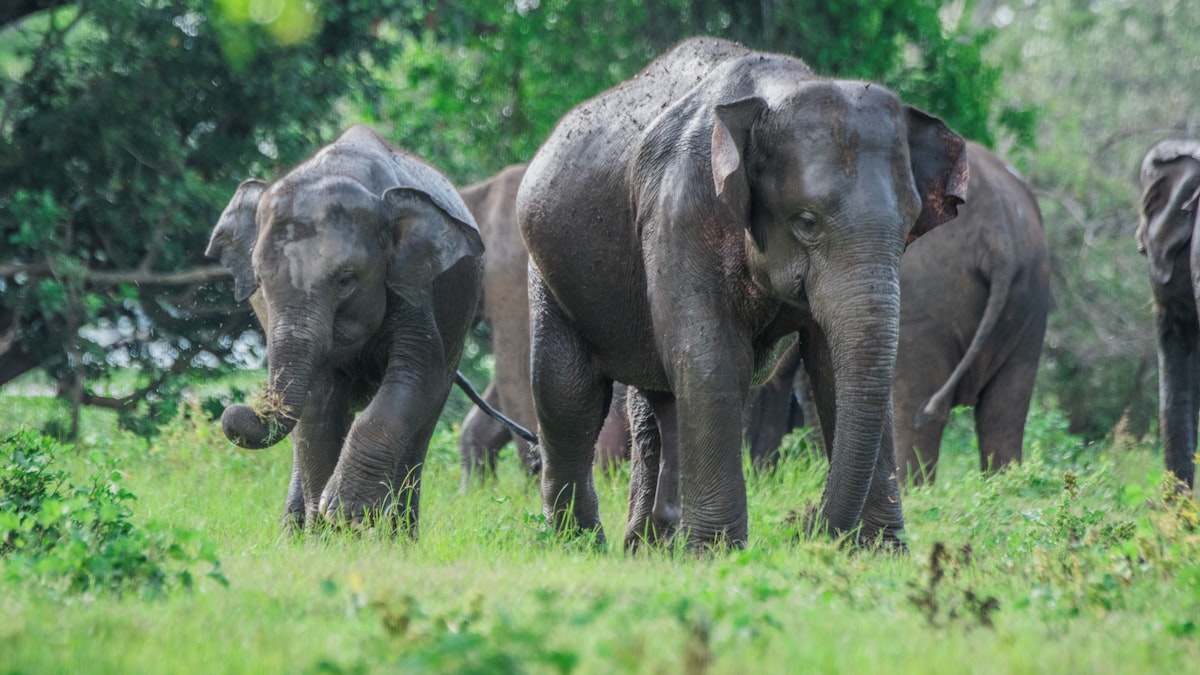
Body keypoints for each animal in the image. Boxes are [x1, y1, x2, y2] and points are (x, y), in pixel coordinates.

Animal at [205, 125, 484, 534]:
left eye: (346, 279)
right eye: (259, 280)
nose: (238, 410)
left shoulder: (413, 287)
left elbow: (417, 377)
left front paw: (347, 514)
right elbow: (319, 403)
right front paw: (329, 532)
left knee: (425, 420)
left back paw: (397, 536)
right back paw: (297, 534)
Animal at [517, 37, 968, 551]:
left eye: (908, 226)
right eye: (806, 221)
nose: (807, 528)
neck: (777, 91)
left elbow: (831, 367)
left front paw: (881, 552)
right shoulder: (680, 210)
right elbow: (712, 358)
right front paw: (716, 553)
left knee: (655, 399)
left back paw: (650, 546)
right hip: (548, 270)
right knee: (566, 393)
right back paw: (581, 544)